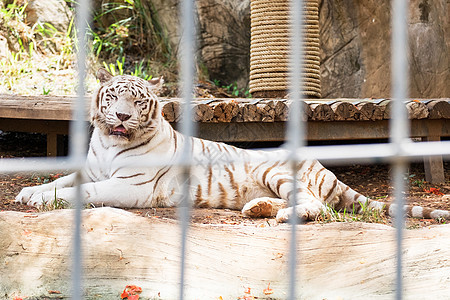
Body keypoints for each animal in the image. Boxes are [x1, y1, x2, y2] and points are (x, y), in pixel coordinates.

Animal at [15, 69, 450, 221]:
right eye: (114, 97)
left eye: (137, 101)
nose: (121, 117)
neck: (108, 143)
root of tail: (322, 167)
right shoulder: (90, 169)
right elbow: (61, 181)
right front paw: (28, 193)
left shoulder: (129, 186)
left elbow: (85, 192)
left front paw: (42, 200)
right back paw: (257, 207)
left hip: (277, 171)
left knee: (317, 205)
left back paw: (284, 216)